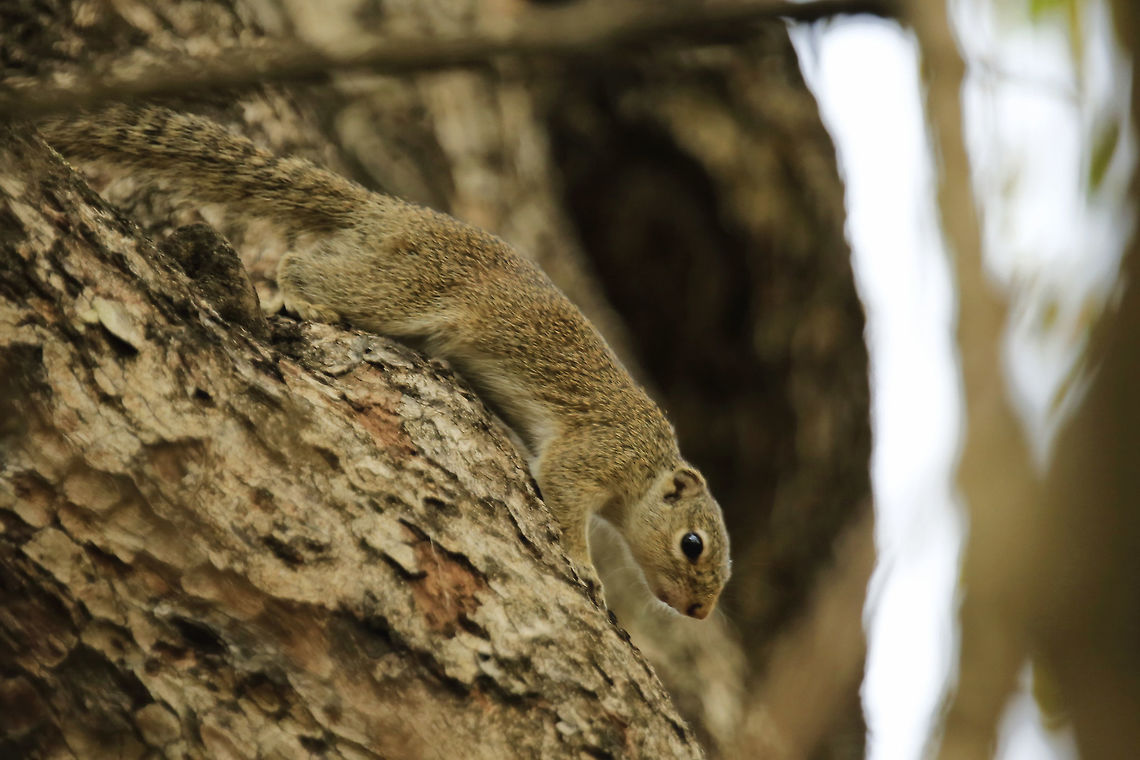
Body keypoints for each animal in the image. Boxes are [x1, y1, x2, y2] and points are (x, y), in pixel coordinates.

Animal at [40, 104, 731, 619]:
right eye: (693, 545)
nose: (698, 612)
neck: (648, 468)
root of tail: (388, 211)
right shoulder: (595, 452)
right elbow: (562, 495)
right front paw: (587, 572)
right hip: (408, 287)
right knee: (307, 266)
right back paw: (300, 293)